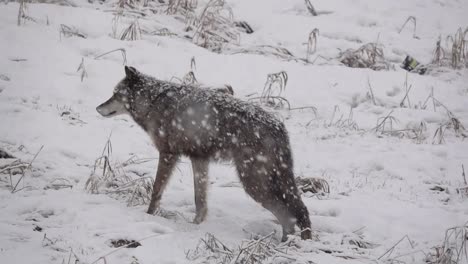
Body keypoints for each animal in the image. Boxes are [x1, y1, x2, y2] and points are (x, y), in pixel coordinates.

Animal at [97, 66, 312, 241]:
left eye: (115, 94)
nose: (98, 108)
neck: (153, 102)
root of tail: (280, 128)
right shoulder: (199, 159)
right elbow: (200, 199)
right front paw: (196, 226)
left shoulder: (168, 154)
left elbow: (156, 190)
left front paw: (148, 215)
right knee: (300, 210)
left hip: (253, 184)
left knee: (289, 216)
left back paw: (287, 244)